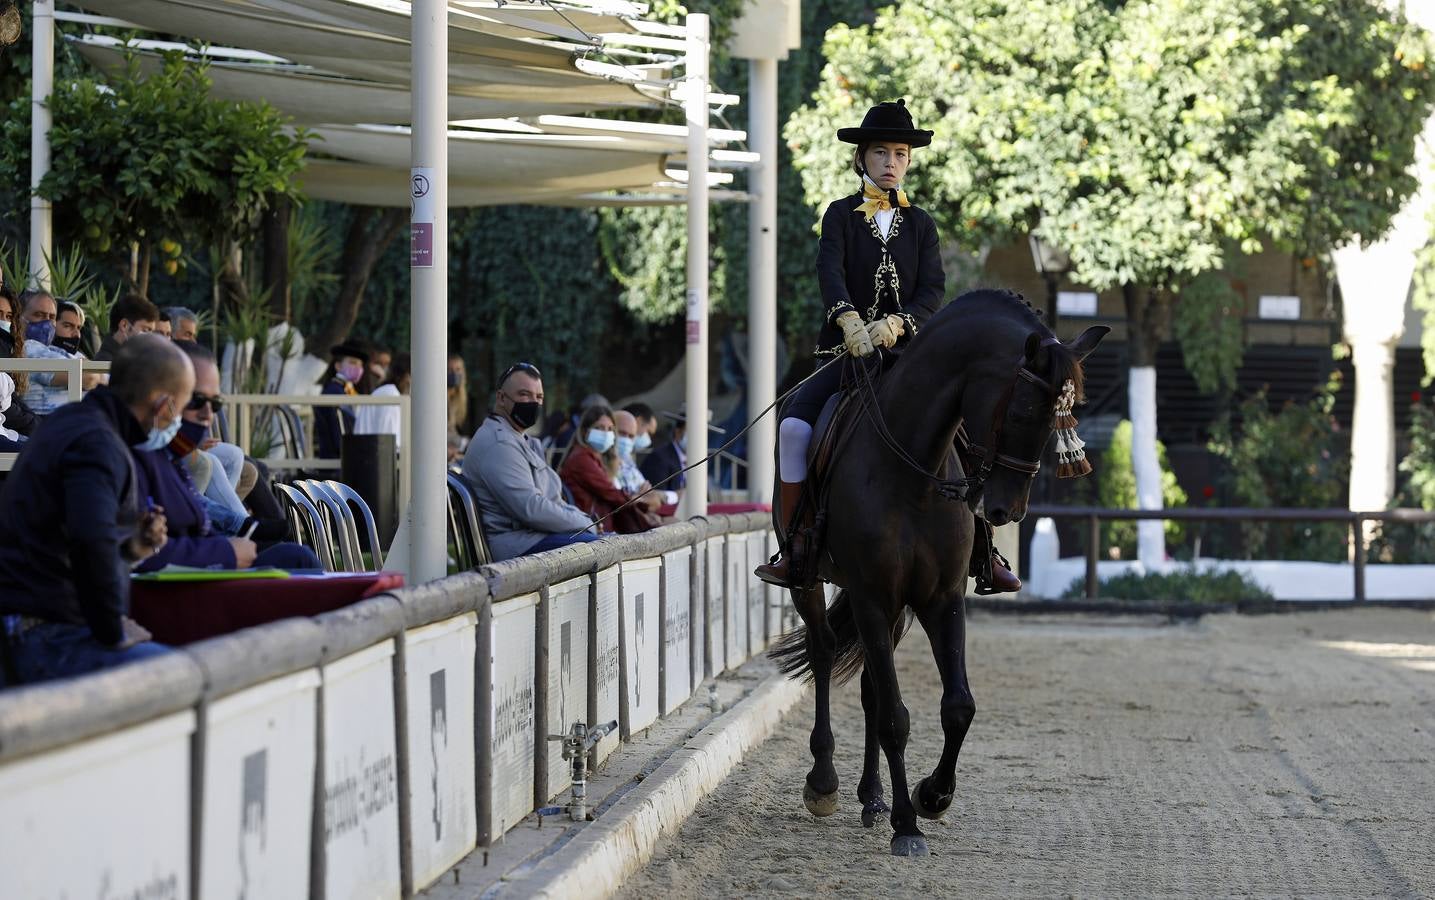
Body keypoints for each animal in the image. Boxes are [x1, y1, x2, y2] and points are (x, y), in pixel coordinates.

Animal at [769, 289, 1102, 861]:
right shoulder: (873, 596)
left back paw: (872, 797)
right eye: (1022, 408)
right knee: (823, 651)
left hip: (895, 609)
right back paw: (825, 782)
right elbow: (897, 718)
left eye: (1062, 416)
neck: (912, 474)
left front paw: (932, 797)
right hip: (812, 583)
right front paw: (908, 825)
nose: (1007, 510)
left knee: (870, 687)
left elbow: (957, 706)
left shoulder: (940, 598)